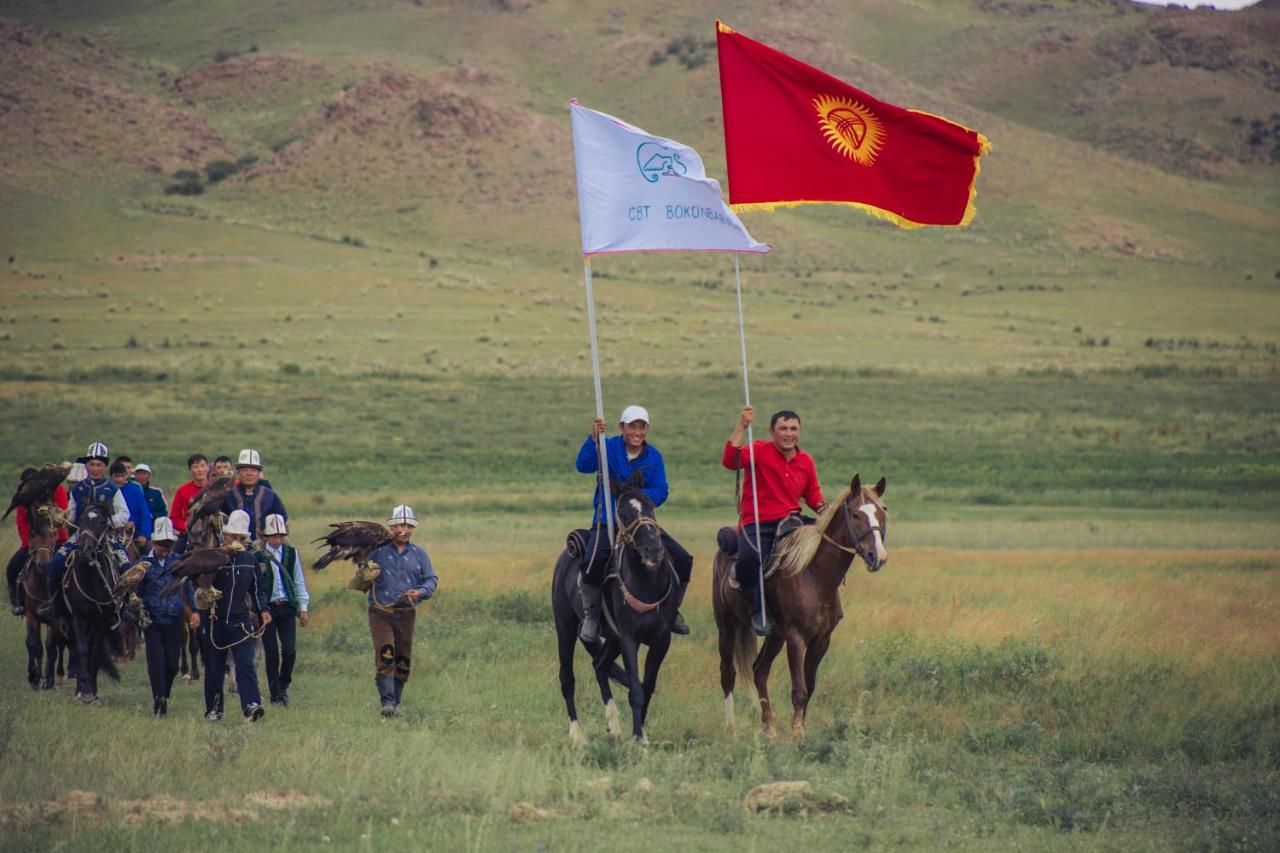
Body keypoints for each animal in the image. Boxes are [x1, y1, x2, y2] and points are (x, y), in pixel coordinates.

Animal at [62, 502, 123, 701]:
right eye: (82, 519)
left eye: (102, 522)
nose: (85, 550)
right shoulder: (77, 616)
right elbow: (81, 649)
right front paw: (85, 689)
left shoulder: (102, 621)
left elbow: (95, 653)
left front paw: (93, 690)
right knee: (79, 648)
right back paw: (80, 688)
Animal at [547, 473, 680, 742]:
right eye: (623, 513)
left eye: (650, 506)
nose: (653, 550)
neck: (646, 584)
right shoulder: (629, 638)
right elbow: (636, 690)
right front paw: (639, 740)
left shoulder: (662, 640)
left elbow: (647, 686)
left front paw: (640, 733)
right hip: (566, 629)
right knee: (567, 678)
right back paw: (577, 735)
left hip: (611, 638)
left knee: (600, 665)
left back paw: (615, 726)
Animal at [711, 471, 890, 737]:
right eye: (856, 514)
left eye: (882, 513)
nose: (877, 557)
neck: (814, 575)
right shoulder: (796, 637)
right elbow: (799, 690)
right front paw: (797, 735)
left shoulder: (822, 639)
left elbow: (810, 686)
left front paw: (800, 729)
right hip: (727, 627)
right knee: (728, 673)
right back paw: (730, 727)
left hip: (775, 635)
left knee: (759, 670)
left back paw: (770, 728)